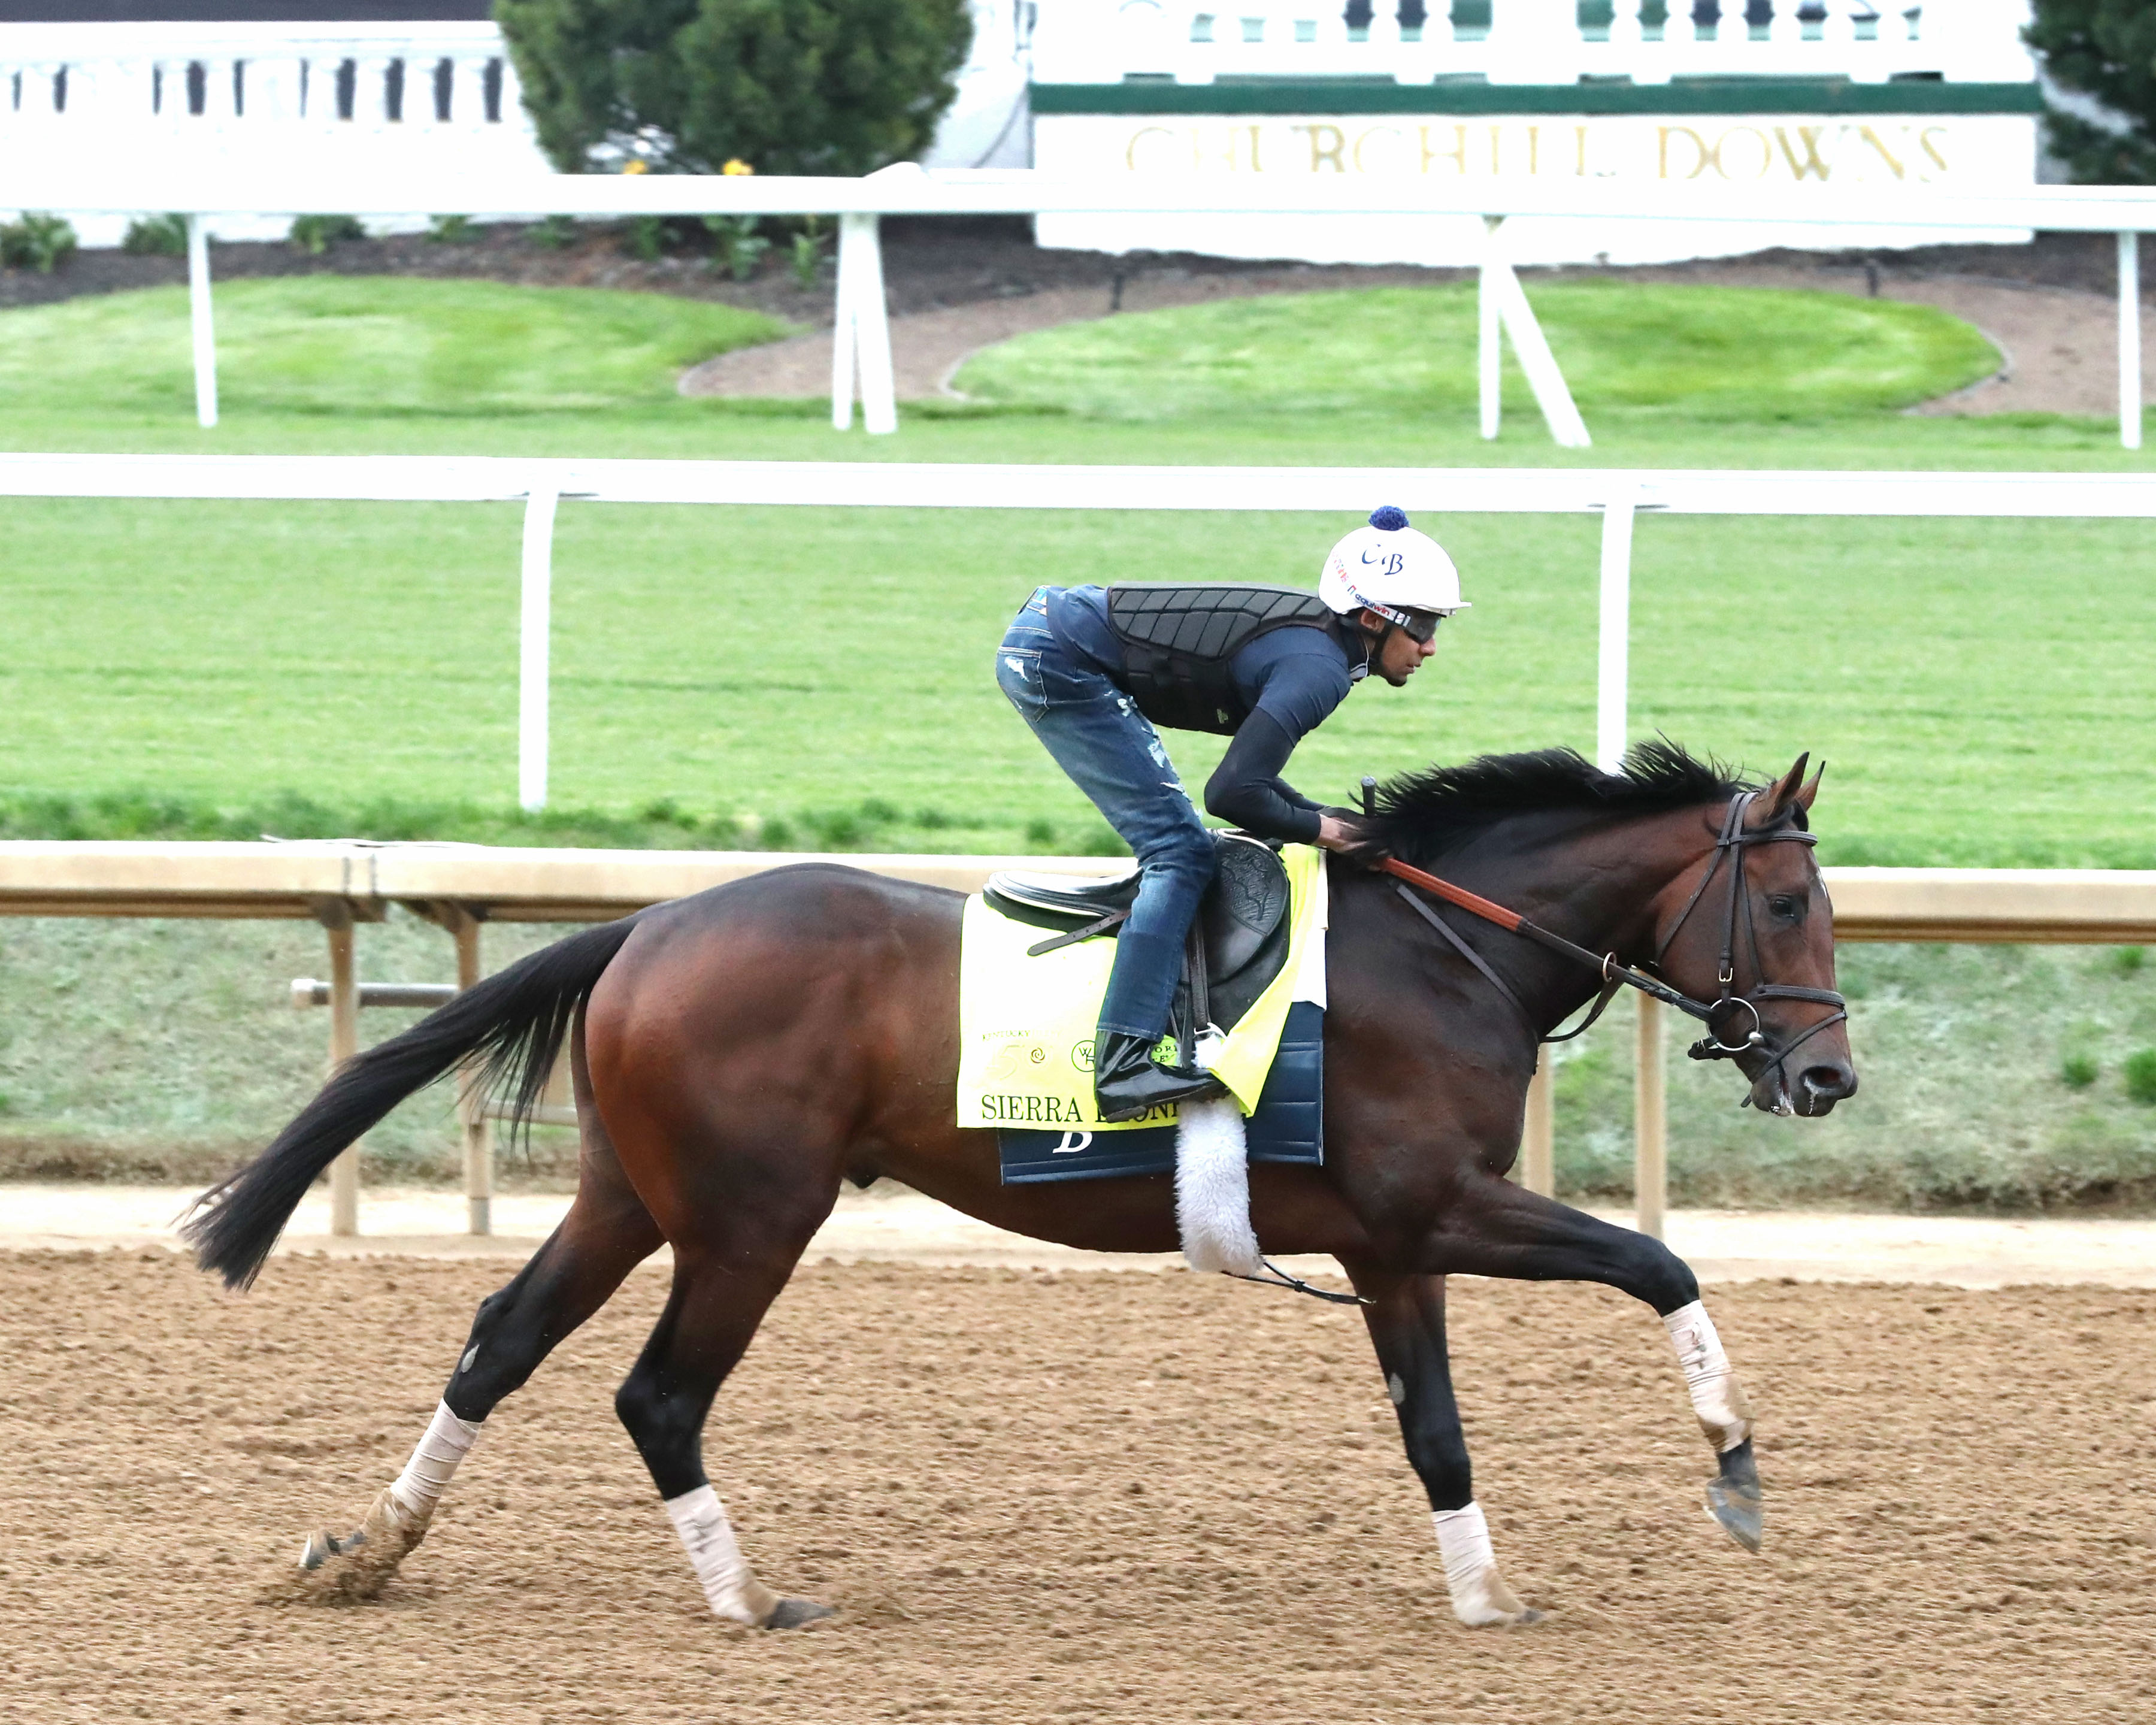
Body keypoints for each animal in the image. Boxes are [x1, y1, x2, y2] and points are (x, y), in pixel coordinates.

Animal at [189, 742, 1854, 1630]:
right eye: (1784, 903)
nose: (1827, 1077)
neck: (1446, 951)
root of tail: (646, 926)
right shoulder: (1436, 1210)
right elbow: (1661, 1266)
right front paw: (1735, 1469)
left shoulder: (1399, 1252)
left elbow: (1435, 1431)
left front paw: (1484, 1594)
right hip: (750, 1217)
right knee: (656, 1394)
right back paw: (747, 1598)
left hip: (633, 1195)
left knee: (502, 1338)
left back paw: (367, 1550)